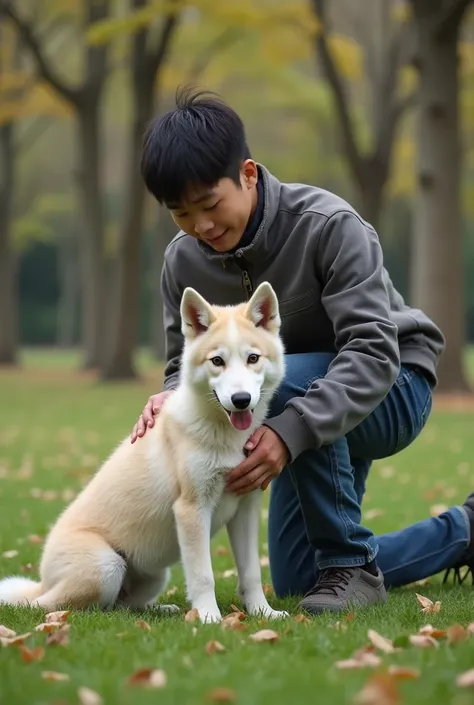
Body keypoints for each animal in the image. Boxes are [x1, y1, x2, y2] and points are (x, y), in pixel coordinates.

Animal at [0, 280, 286, 620]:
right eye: (217, 361)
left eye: (253, 358)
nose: (241, 400)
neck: (222, 434)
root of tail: (43, 581)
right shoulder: (191, 509)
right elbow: (203, 576)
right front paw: (208, 618)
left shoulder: (246, 508)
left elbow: (252, 573)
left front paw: (263, 613)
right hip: (106, 566)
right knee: (61, 607)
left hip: (154, 575)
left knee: (122, 607)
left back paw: (164, 609)